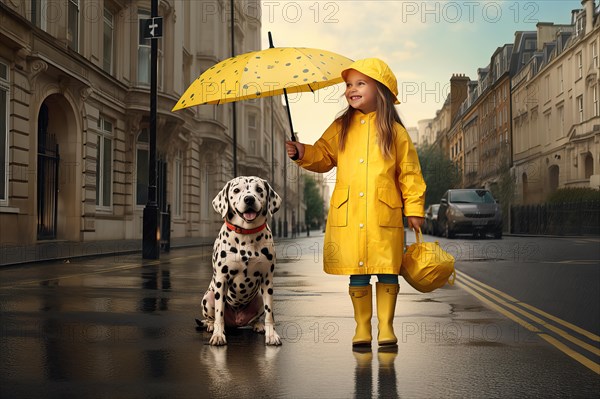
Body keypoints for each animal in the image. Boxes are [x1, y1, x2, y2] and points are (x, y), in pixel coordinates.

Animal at [197, 177, 282, 346]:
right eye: (236, 190)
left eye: (259, 189)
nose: (249, 199)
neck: (247, 234)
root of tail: (236, 321)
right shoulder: (221, 280)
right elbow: (219, 313)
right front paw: (218, 335)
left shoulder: (267, 280)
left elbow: (270, 313)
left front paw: (271, 335)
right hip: (208, 297)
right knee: (212, 317)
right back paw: (211, 325)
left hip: (259, 297)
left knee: (256, 318)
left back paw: (258, 325)